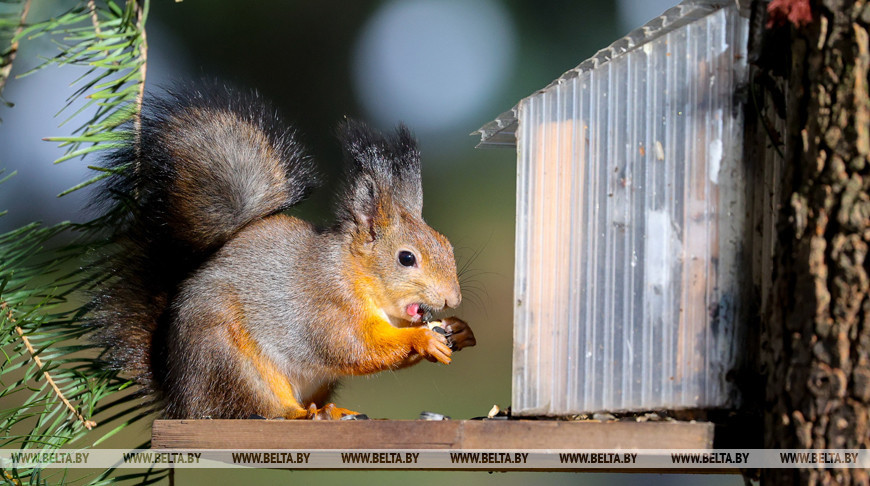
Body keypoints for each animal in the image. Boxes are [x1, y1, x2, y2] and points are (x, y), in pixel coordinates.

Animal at [90, 83, 476, 418]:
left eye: (446, 245)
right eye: (406, 258)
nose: (452, 298)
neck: (354, 271)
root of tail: (179, 399)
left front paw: (458, 329)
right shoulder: (325, 308)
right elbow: (354, 348)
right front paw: (422, 339)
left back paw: (332, 411)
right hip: (228, 362)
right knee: (258, 410)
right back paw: (306, 416)